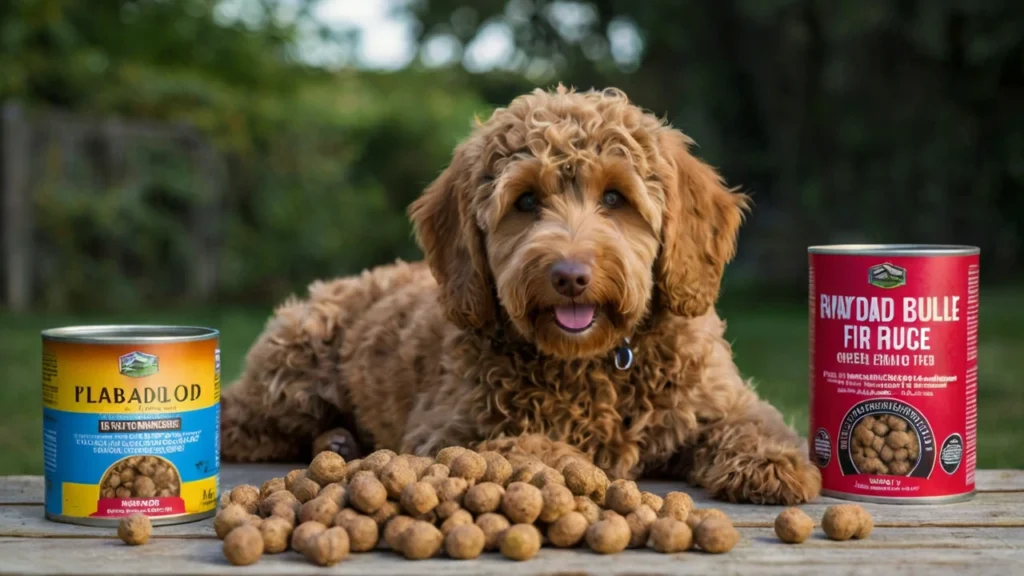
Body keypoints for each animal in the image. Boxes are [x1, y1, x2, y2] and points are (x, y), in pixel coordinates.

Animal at [222, 84, 823, 502]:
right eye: (527, 201)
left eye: (615, 197)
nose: (570, 275)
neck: (590, 362)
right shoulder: (444, 430)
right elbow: (521, 445)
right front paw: (575, 462)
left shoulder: (715, 399)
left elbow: (756, 422)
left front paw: (774, 463)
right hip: (291, 379)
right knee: (235, 421)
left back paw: (341, 443)